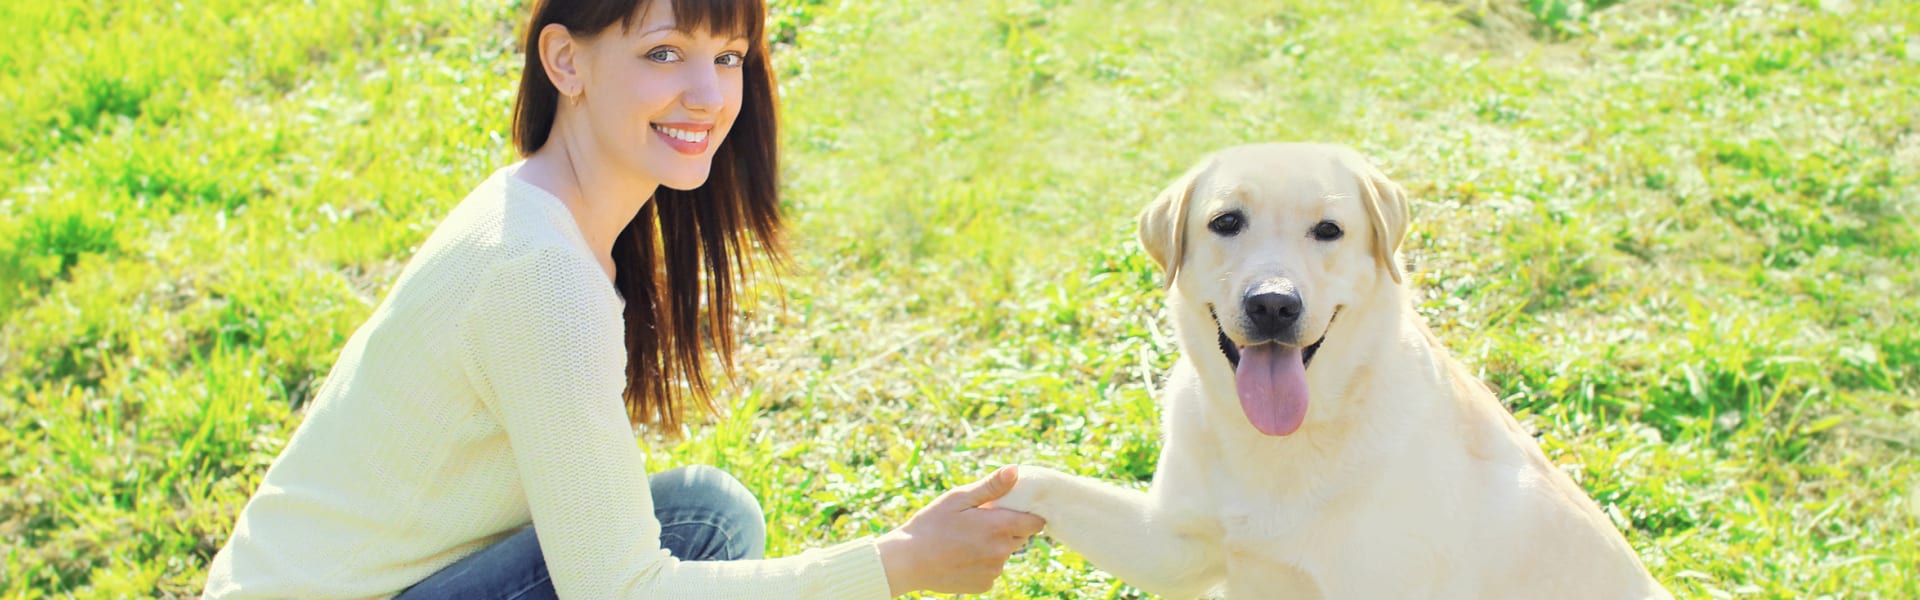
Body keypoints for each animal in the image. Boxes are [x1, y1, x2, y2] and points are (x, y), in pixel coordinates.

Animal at [998, 143, 1674, 596]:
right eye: (1226, 222)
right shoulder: (1176, 545)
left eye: (1328, 230)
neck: (1288, 439)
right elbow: (1039, 482)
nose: (1273, 304)